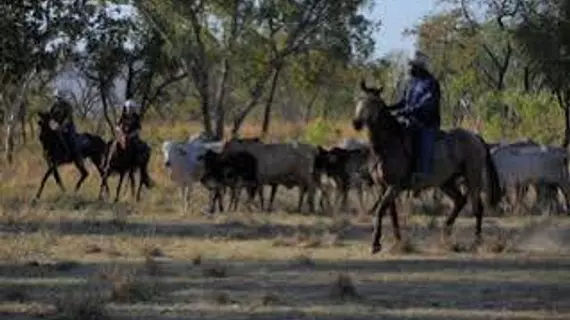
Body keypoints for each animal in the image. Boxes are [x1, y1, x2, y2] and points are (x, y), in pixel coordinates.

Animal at [350, 80, 496, 255]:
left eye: (373, 102)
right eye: (359, 100)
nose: (356, 123)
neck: (388, 145)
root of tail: (475, 137)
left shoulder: (394, 187)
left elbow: (380, 210)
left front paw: (375, 244)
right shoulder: (383, 187)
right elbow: (391, 215)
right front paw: (396, 241)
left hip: (473, 178)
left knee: (477, 208)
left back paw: (476, 241)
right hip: (446, 182)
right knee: (460, 201)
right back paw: (446, 231)